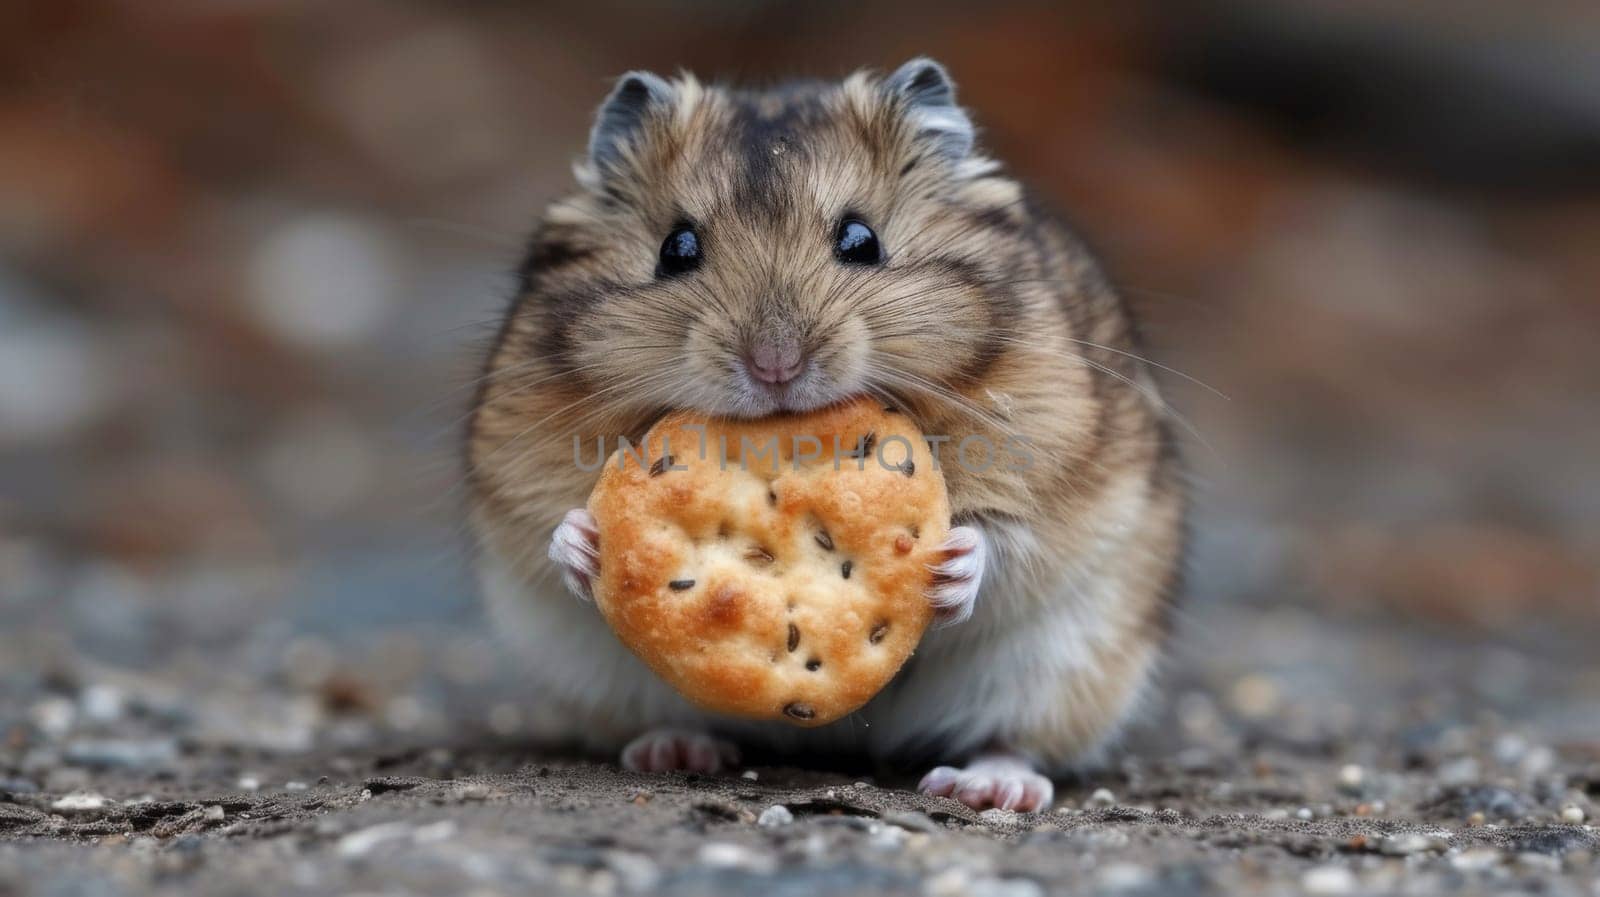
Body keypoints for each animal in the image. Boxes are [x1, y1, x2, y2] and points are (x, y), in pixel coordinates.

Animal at [464, 59, 1190, 809]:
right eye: (675, 249)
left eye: (861, 240)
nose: (775, 367)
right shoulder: (518, 472)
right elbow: (548, 528)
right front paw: (586, 542)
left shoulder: (1054, 468)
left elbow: (1008, 537)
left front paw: (952, 561)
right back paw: (674, 749)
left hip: (1069, 661)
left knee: (1015, 737)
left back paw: (990, 788)